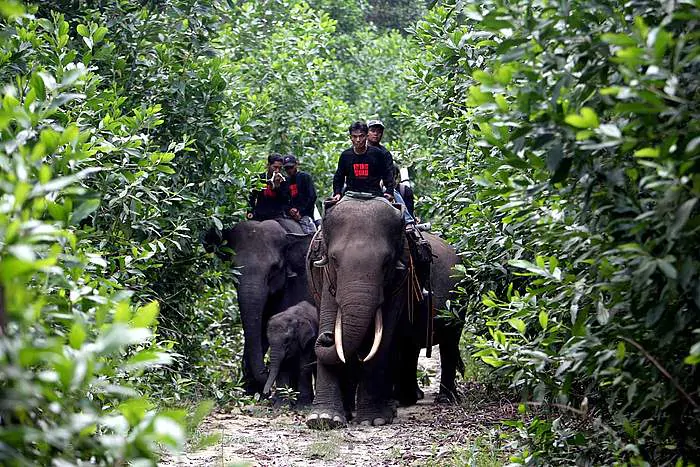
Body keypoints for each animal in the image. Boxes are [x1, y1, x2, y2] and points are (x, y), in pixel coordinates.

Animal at [308, 196, 464, 430]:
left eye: (386, 263)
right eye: (334, 260)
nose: (326, 338)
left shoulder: (402, 275)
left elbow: (384, 337)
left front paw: (374, 420)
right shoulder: (323, 273)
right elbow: (329, 318)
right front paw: (324, 419)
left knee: (449, 343)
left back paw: (442, 399)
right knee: (409, 347)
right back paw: (404, 399)